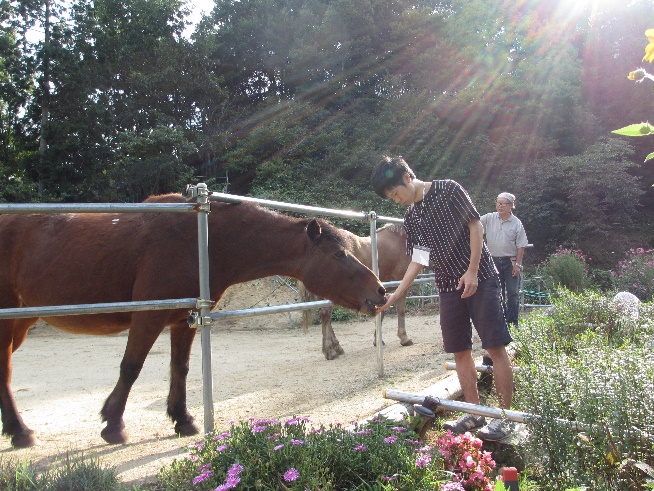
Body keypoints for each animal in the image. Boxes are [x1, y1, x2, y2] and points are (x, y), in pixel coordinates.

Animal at [0, 194, 386, 448]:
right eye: (339, 254)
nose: (380, 292)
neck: (202, 241)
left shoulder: (182, 319)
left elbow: (181, 368)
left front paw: (182, 420)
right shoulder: (149, 316)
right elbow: (131, 367)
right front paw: (113, 425)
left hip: (21, 322)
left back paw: (16, 430)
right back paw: (21, 432)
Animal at [302, 225, 416, 360]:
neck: (400, 239)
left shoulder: (379, 293)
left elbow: (381, 313)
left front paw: (378, 340)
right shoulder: (401, 287)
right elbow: (401, 311)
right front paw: (404, 338)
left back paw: (337, 347)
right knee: (325, 315)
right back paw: (329, 351)